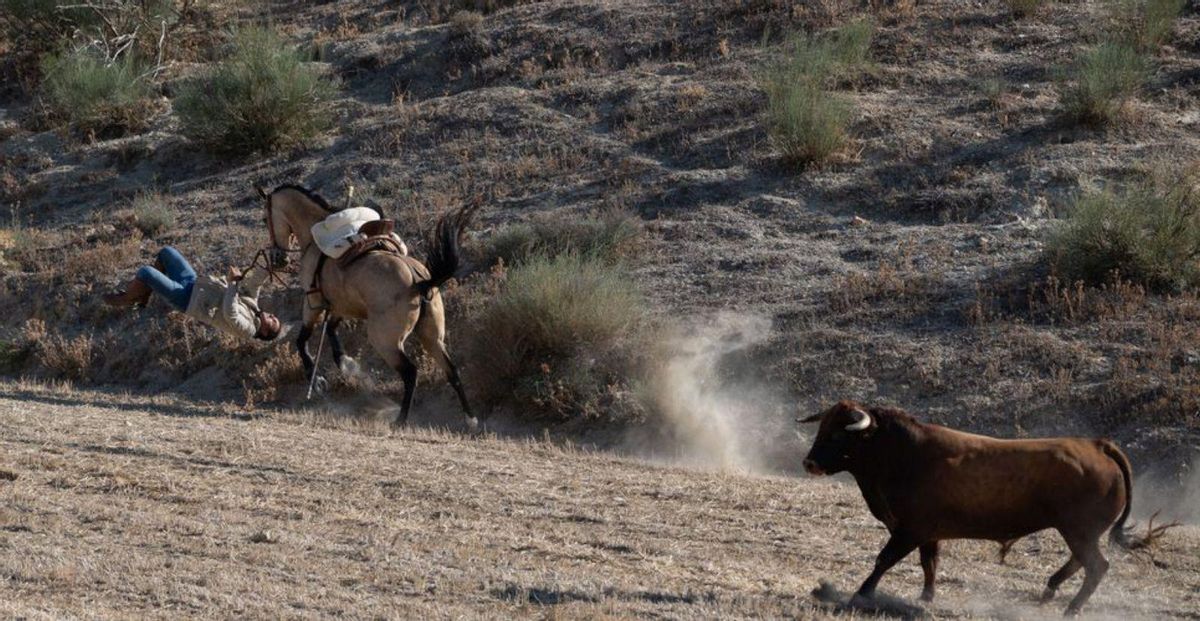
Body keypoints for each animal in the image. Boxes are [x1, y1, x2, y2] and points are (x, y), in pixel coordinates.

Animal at [258, 182, 477, 431]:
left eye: (265, 219)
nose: (278, 259)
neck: (316, 243)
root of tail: (420, 281)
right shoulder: (341, 305)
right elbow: (331, 331)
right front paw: (346, 364)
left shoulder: (312, 303)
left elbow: (301, 341)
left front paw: (318, 380)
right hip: (432, 337)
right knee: (452, 371)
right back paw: (470, 419)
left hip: (385, 341)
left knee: (410, 373)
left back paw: (400, 420)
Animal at [796, 402, 1161, 613]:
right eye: (822, 428)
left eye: (839, 435)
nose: (809, 462)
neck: (902, 453)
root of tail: (1096, 445)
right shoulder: (928, 534)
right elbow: (929, 563)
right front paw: (926, 597)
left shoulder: (909, 530)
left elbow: (884, 559)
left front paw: (862, 594)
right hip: (1078, 532)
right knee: (1079, 563)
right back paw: (1050, 590)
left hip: (1079, 531)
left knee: (1096, 566)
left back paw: (1070, 608)